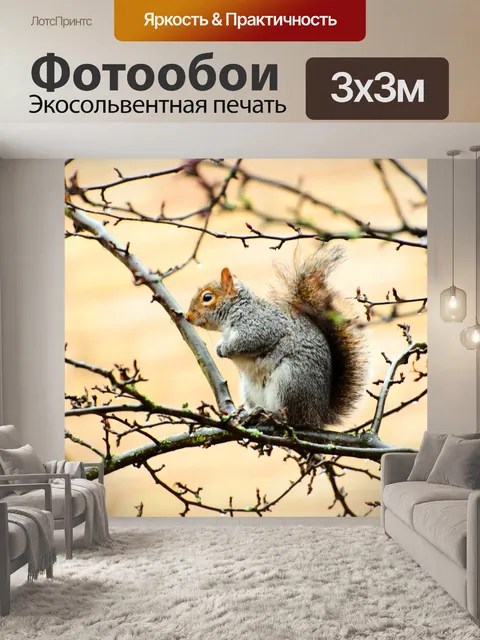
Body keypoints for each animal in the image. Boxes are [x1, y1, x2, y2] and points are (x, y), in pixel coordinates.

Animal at [185, 245, 366, 430]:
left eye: (207, 297)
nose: (187, 317)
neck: (236, 310)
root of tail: (318, 417)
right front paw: (218, 348)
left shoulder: (261, 326)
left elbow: (248, 341)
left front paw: (226, 349)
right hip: (250, 389)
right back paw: (252, 414)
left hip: (289, 382)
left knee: (292, 418)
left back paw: (271, 416)